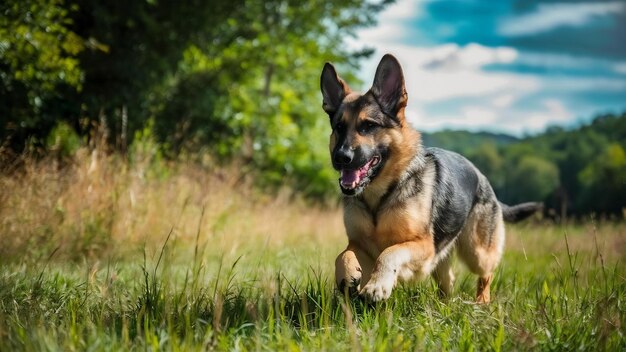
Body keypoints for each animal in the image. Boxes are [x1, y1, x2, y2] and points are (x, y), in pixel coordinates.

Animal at [320, 54, 540, 302]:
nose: (341, 157)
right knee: (449, 280)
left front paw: (377, 285)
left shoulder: (423, 246)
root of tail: (483, 178)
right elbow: (343, 255)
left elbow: (389, 253)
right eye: (339, 127)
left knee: (486, 273)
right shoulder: (359, 244)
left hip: (477, 253)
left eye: (368, 126)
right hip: (444, 261)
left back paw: (481, 302)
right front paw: (347, 274)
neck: (380, 197)